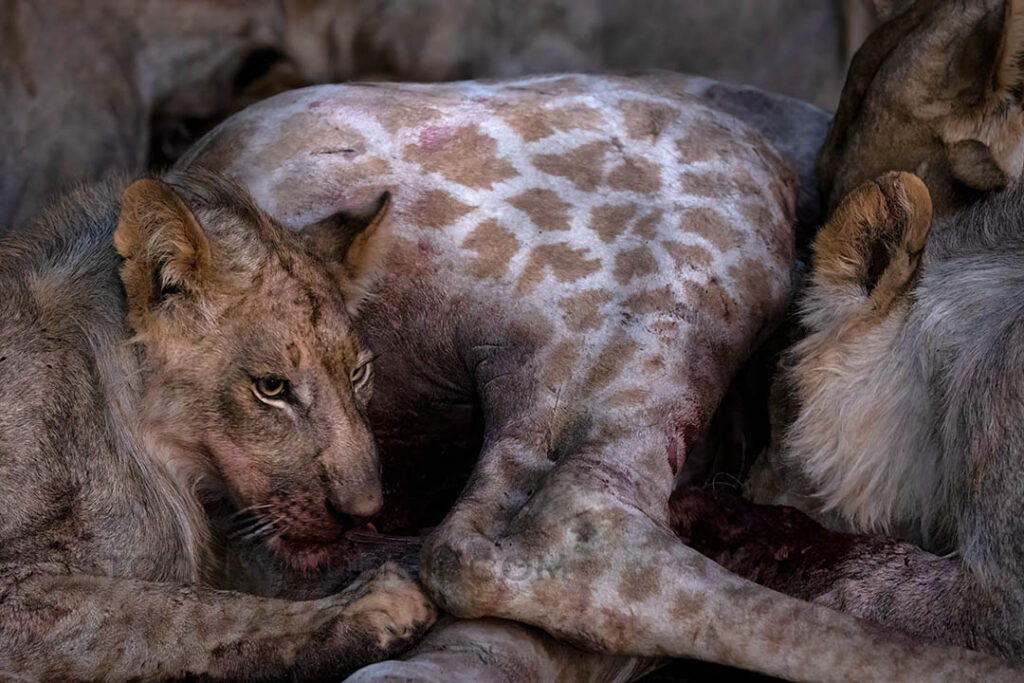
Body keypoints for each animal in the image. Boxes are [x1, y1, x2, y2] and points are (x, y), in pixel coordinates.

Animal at [0, 168, 435, 680]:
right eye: (271, 388)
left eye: (357, 374)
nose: (363, 512)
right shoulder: (14, 593)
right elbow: (179, 615)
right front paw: (378, 606)